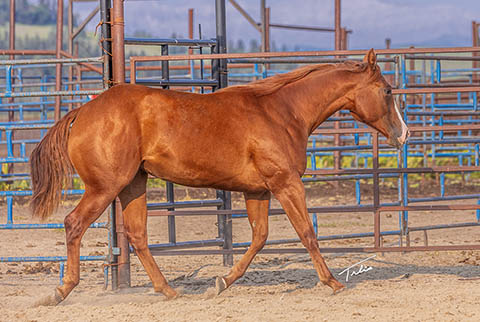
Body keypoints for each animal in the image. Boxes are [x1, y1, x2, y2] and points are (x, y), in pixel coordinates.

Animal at [30, 49, 408, 306]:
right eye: (388, 91)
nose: (404, 134)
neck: (282, 112)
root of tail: (82, 112)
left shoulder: (258, 192)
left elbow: (259, 238)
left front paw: (221, 282)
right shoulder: (285, 184)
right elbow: (306, 233)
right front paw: (333, 283)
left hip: (132, 185)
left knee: (137, 235)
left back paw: (169, 290)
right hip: (105, 187)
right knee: (74, 224)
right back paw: (60, 291)